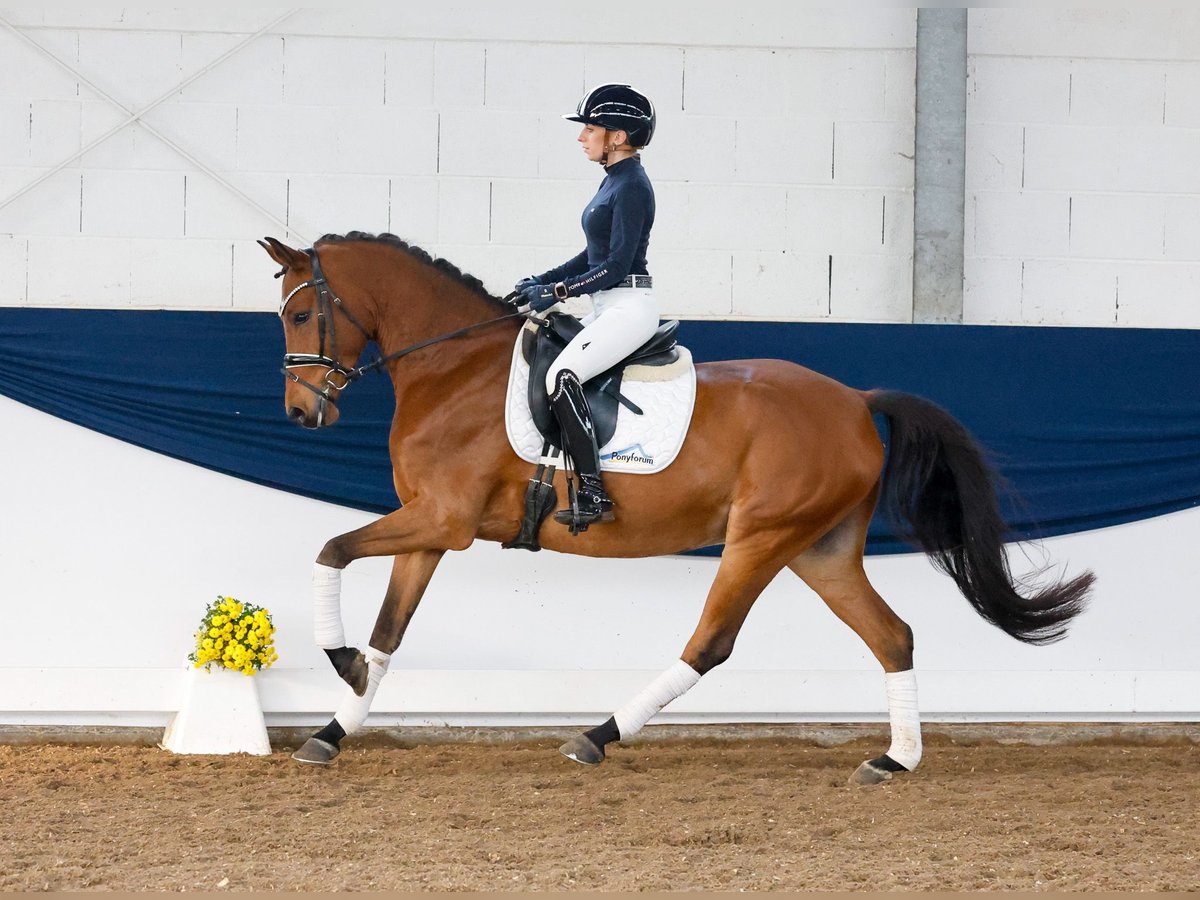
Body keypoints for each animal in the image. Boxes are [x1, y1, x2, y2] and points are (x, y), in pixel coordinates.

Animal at [262, 234, 1099, 787]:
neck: (452, 367)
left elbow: (330, 552)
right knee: (892, 635)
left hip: (760, 539)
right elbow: (388, 634)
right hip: (819, 549)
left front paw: (338, 664)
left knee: (711, 643)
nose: (303, 414)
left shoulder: (445, 522)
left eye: (300, 318)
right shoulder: (429, 529)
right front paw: (333, 730)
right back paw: (893, 758)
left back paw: (598, 735)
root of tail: (856, 400)